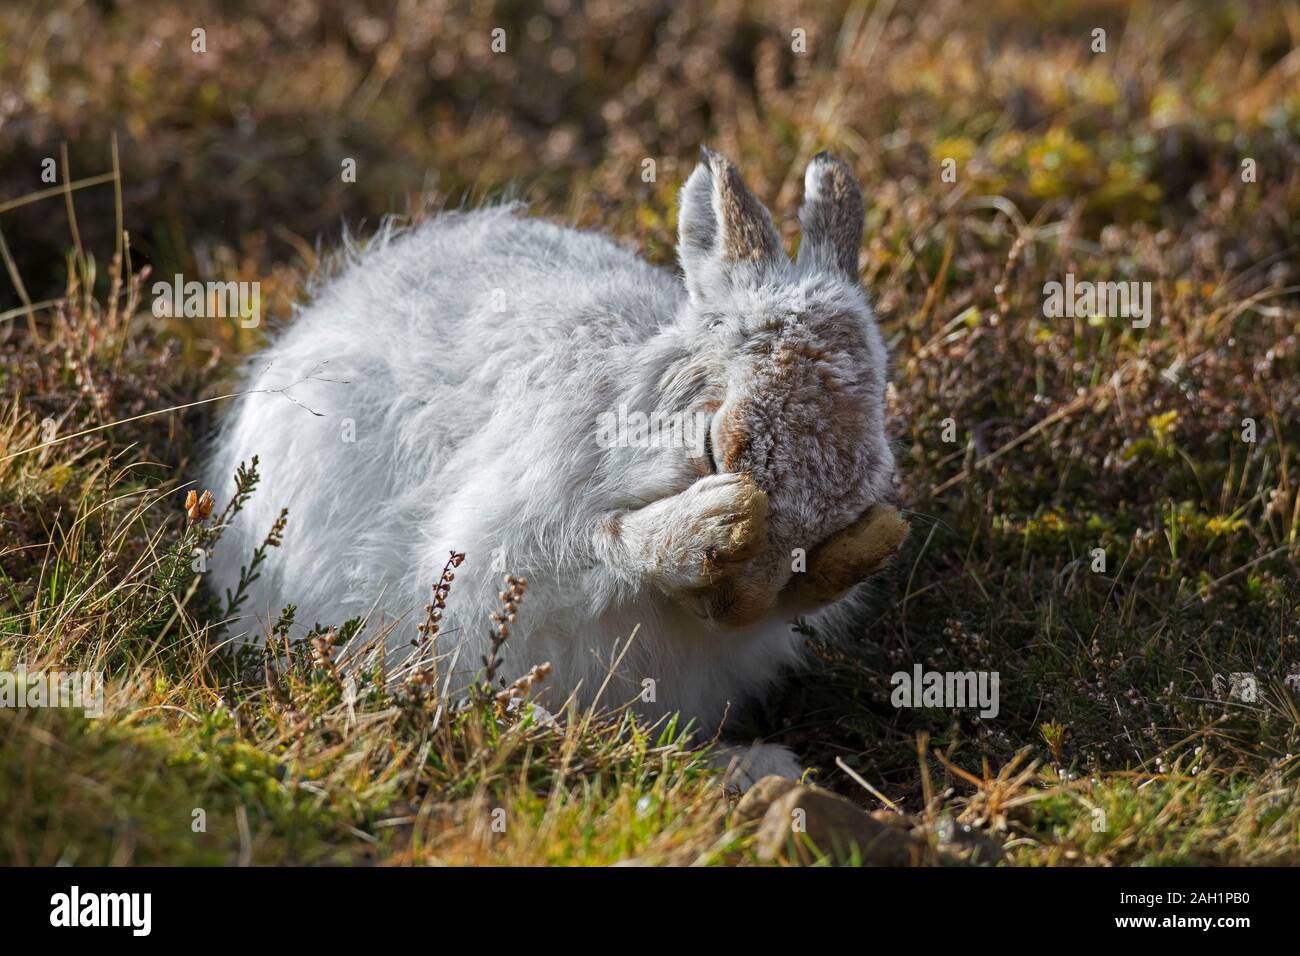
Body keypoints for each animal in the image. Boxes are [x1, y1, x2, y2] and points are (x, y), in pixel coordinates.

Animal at [203, 147, 906, 786]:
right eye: (712, 449)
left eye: (833, 524)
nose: (730, 609)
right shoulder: (507, 547)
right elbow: (590, 549)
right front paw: (705, 529)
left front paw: (865, 548)